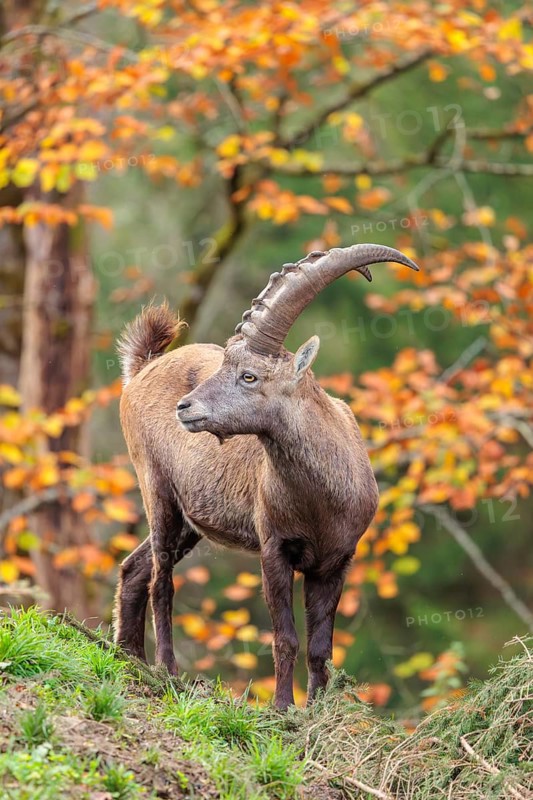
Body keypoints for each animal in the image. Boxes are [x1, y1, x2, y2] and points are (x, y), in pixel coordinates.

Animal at [114, 243, 419, 708]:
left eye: (249, 375)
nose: (185, 407)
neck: (318, 501)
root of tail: (141, 371)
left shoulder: (336, 560)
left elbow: (320, 648)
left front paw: (316, 711)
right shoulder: (275, 549)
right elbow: (285, 638)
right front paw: (282, 708)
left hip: (191, 522)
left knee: (134, 568)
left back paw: (128, 658)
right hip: (158, 491)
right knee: (160, 583)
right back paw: (166, 669)